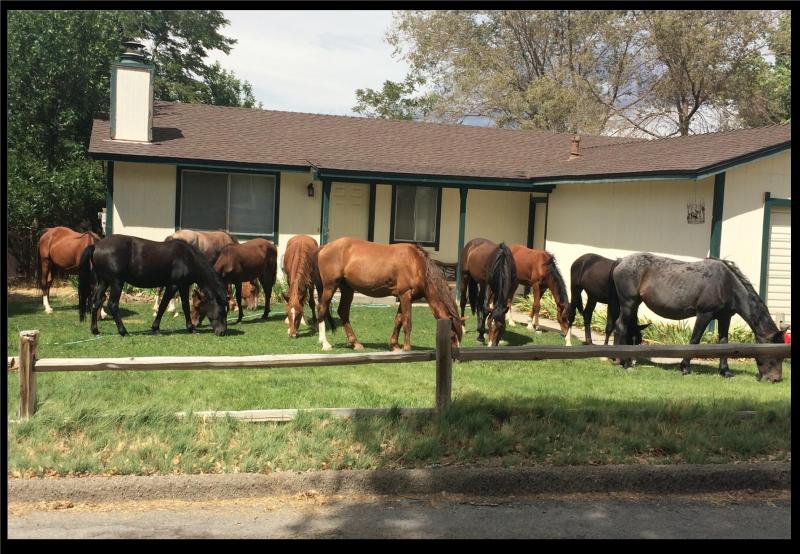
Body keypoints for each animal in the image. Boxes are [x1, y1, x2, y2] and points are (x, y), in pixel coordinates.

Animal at [78, 234, 228, 336]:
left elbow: (185, 306)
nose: (222, 332)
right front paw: (155, 328)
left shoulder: (183, 286)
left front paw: (190, 328)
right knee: (112, 304)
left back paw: (95, 330)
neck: (186, 258)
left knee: (96, 302)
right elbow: (162, 306)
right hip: (116, 283)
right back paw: (123, 331)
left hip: (104, 282)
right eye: (221, 311)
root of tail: (96, 246)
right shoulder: (172, 286)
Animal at [315, 238, 463, 352]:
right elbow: (407, 321)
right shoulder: (405, 295)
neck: (416, 264)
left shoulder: (405, 297)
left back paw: (355, 343)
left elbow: (398, 320)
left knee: (343, 312)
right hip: (330, 286)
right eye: (453, 334)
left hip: (347, 289)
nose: (456, 357)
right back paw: (325, 343)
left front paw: (395, 345)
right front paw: (407, 348)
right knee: (321, 309)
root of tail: (325, 247)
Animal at [611, 253, 786, 382]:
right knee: (621, 326)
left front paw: (725, 372)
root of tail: (621, 261)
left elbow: (723, 342)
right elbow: (695, 340)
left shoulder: (725, 318)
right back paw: (624, 363)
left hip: (634, 304)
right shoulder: (704, 314)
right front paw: (685, 368)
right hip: (628, 303)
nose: (775, 379)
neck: (726, 284)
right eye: (775, 354)